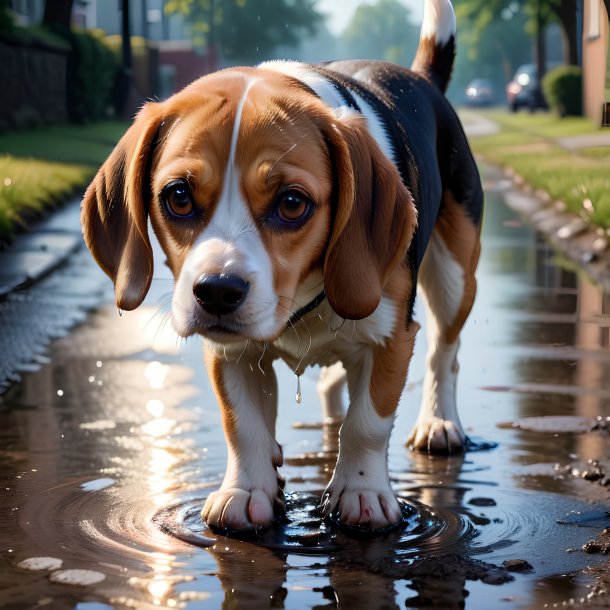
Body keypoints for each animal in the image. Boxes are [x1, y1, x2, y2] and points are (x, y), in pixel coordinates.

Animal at [81, 0, 482, 528]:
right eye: (178, 197)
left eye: (292, 203)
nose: (217, 291)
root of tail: (420, 77)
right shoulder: (230, 352)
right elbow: (243, 426)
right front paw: (246, 491)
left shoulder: (391, 339)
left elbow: (368, 423)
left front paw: (362, 492)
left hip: (455, 277)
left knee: (444, 353)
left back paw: (439, 422)